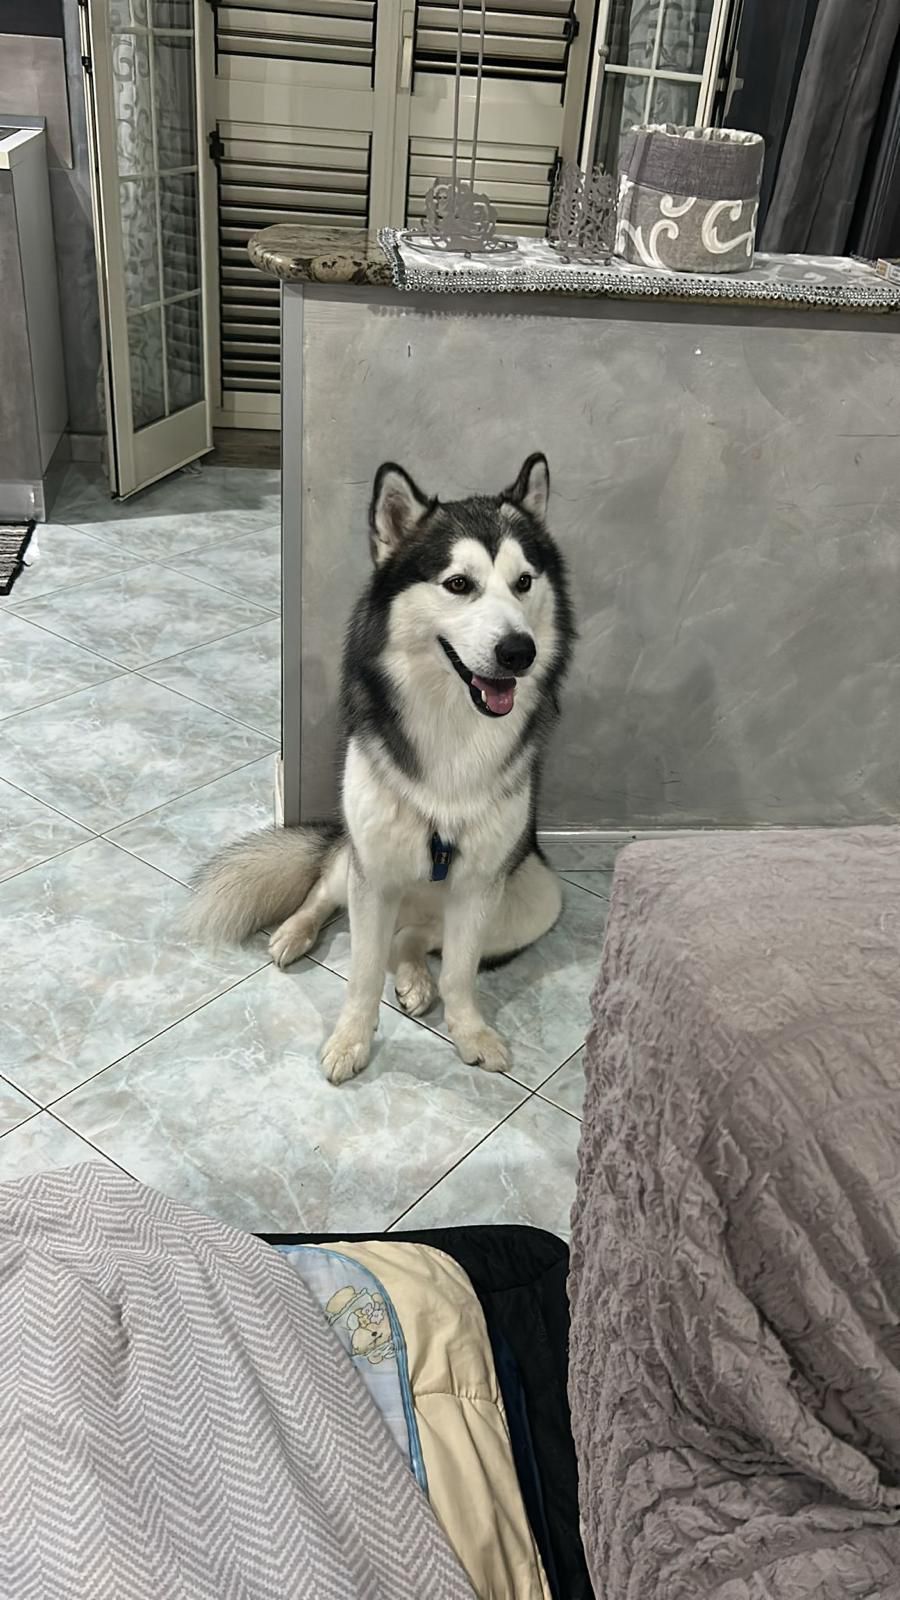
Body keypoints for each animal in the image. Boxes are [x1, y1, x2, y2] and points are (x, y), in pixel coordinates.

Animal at [186, 452, 575, 1084]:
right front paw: (351, 1040)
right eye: (459, 584)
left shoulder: (480, 884)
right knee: (325, 891)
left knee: (414, 937)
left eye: (524, 582)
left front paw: (468, 1031)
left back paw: (415, 975)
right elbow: (364, 971)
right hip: (359, 855)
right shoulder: (373, 869)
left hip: (536, 897)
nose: (520, 652)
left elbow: (459, 971)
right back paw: (295, 932)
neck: (452, 724)